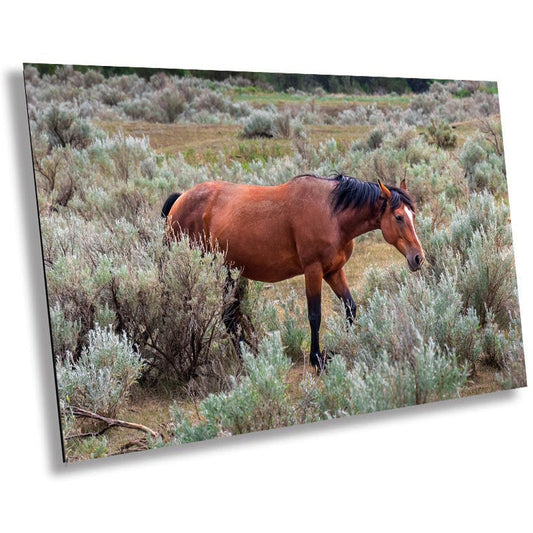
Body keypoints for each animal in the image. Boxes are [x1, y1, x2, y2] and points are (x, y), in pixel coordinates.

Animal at [162, 174, 424, 370]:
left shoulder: (334, 271)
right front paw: (317, 359)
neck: (332, 215)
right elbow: (315, 316)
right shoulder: (313, 270)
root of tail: (181, 198)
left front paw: (345, 346)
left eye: (412, 215)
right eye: (398, 217)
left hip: (229, 271)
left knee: (229, 317)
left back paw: (250, 356)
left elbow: (350, 307)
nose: (418, 258)